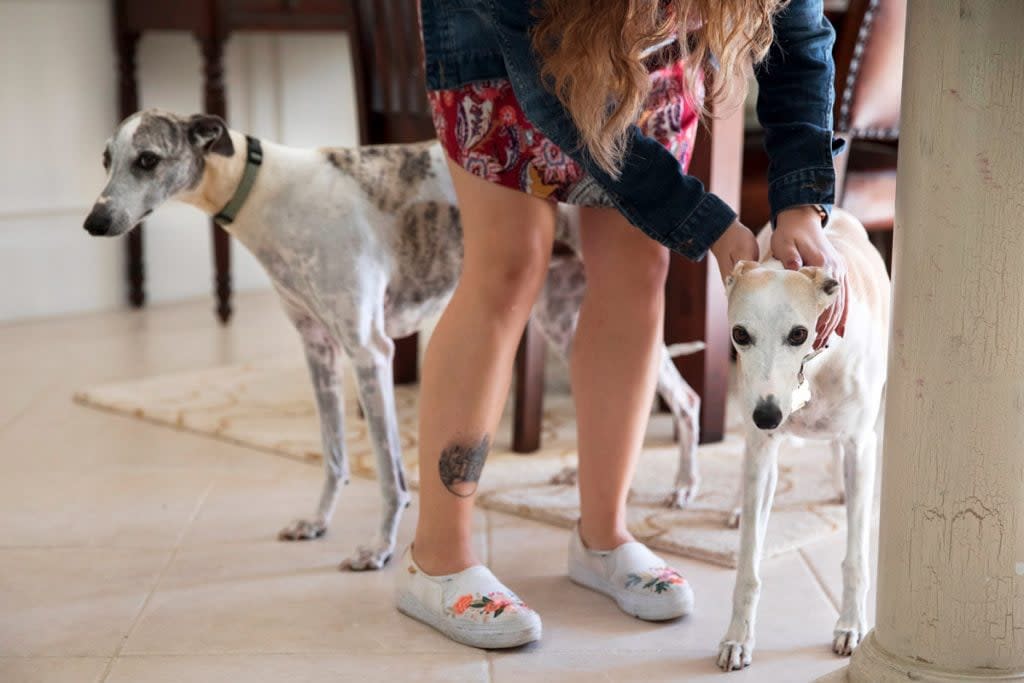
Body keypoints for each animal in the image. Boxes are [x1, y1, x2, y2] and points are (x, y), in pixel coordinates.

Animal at [81, 111, 704, 573]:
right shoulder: (319, 350)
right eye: (107, 159)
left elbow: (389, 472)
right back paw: (583, 475)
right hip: (561, 316)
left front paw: (379, 549)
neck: (265, 191)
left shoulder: (369, 353)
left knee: (687, 397)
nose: (94, 222)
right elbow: (334, 454)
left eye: (148, 159)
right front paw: (317, 523)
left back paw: (683, 490)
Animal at [720, 209, 888, 671]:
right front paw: (737, 639)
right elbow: (748, 564)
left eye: (798, 333)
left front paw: (850, 626)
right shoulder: (763, 449)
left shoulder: (861, 446)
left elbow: (856, 558)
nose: (768, 415)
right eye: (740, 334)